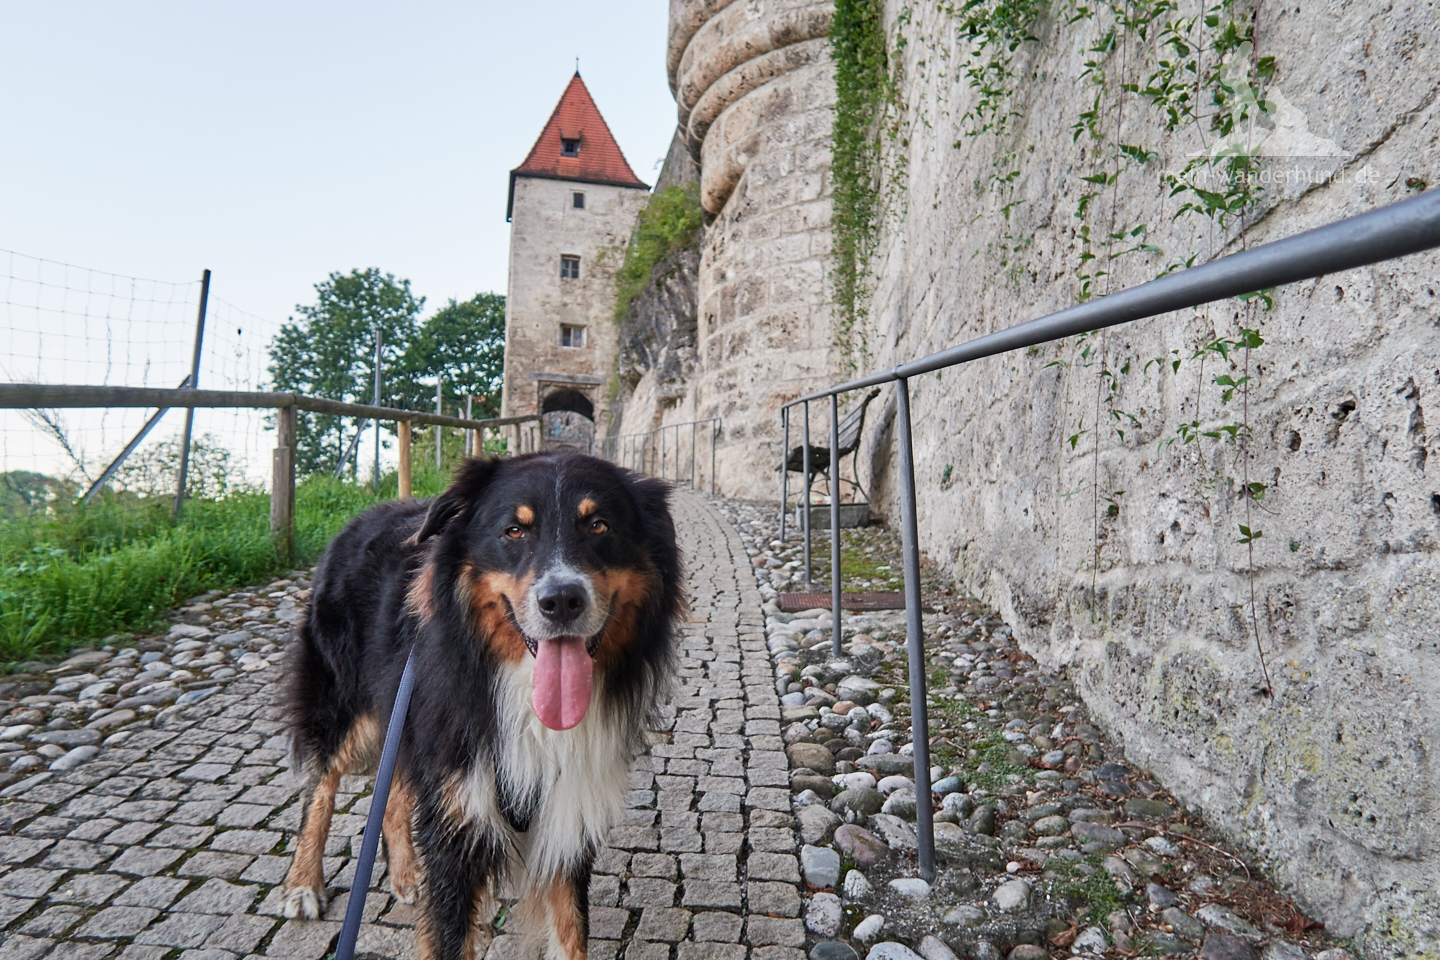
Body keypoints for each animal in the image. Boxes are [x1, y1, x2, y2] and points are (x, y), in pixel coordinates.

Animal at [283, 451, 682, 960]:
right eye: (513, 531)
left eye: (599, 525)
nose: (561, 601)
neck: (525, 698)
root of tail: (359, 518)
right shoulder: (458, 816)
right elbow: (448, 935)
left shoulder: (566, 812)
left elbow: (571, 932)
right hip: (348, 706)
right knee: (321, 783)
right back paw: (303, 884)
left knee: (394, 791)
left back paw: (407, 875)